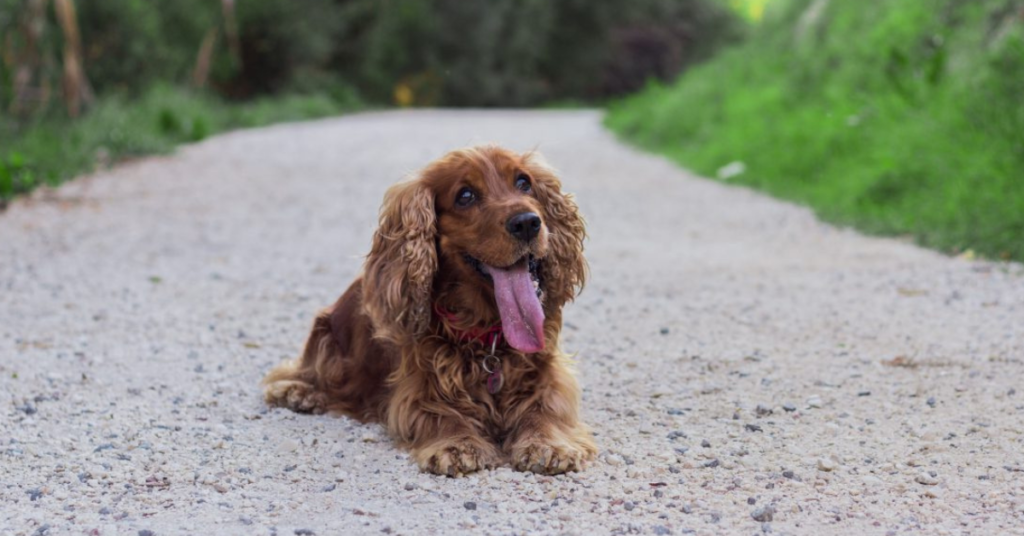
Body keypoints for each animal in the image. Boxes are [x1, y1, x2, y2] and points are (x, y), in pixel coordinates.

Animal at [264, 144, 598, 475]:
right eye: (465, 196)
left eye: (523, 182)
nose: (527, 223)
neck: (486, 333)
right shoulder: (418, 386)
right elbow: (439, 412)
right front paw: (458, 445)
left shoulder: (548, 374)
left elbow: (546, 407)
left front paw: (549, 444)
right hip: (325, 337)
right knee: (298, 371)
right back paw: (297, 391)